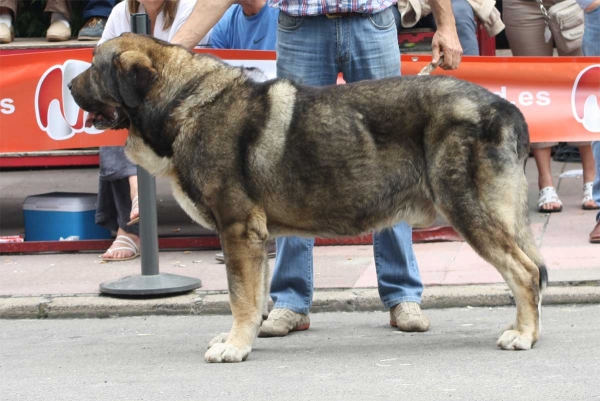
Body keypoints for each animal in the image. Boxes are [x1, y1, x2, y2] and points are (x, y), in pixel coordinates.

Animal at [69, 32, 548, 360]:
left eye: (95, 66)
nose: (70, 86)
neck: (183, 102)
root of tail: (506, 108)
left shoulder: (238, 230)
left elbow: (239, 296)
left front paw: (235, 346)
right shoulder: (255, 238)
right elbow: (255, 296)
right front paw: (244, 337)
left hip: (470, 210)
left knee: (524, 273)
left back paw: (523, 334)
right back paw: (528, 329)